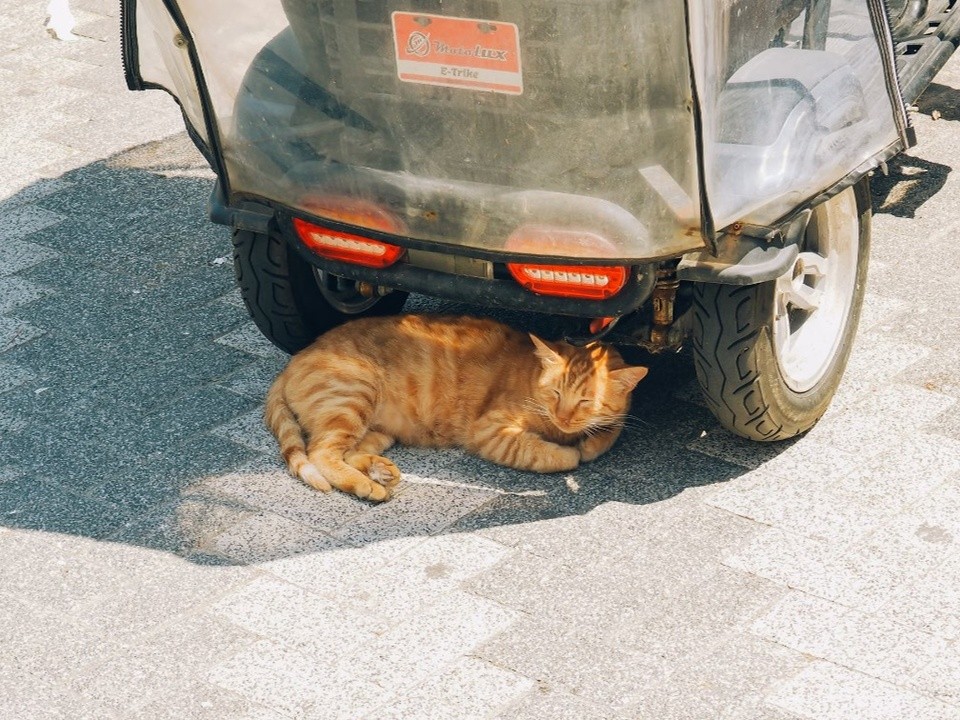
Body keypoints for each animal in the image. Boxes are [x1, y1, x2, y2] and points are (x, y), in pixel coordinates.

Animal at [266, 316, 648, 500]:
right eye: (555, 392)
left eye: (585, 401)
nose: (564, 416)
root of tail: (295, 359)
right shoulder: (490, 431)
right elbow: (548, 454)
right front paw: (571, 452)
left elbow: (613, 427)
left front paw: (592, 439)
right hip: (353, 397)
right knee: (321, 453)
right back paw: (366, 485)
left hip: (378, 428)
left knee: (348, 451)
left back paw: (379, 471)